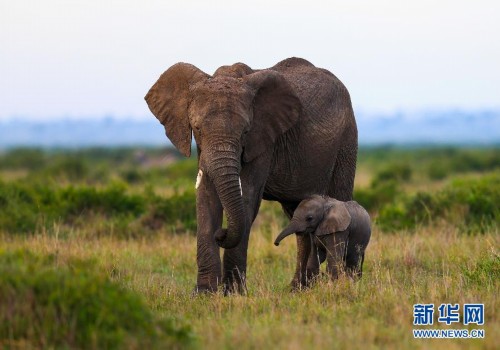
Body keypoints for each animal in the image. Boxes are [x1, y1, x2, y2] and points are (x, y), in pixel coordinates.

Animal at [145, 56, 360, 292]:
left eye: (245, 131)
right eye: (197, 128)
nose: (221, 233)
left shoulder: (264, 140)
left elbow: (247, 196)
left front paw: (233, 293)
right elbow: (206, 196)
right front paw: (204, 293)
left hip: (347, 140)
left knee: (338, 200)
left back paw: (338, 284)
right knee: (299, 216)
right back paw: (298, 289)